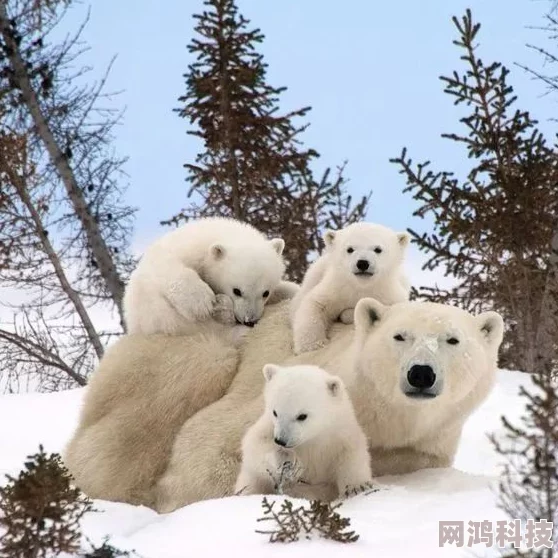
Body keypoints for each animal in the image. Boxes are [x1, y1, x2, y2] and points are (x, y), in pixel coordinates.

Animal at [122, 217, 298, 334]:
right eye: (237, 291)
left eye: (265, 293)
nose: (249, 320)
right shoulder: (180, 250)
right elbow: (167, 265)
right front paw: (201, 302)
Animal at [236, 364, 376, 504]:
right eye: (275, 412)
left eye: (302, 416)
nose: (281, 440)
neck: (312, 438)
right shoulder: (268, 426)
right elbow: (255, 445)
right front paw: (286, 460)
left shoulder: (340, 434)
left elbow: (351, 454)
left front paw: (357, 487)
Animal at [294, 223, 412, 354]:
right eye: (350, 249)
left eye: (378, 249)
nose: (362, 263)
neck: (361, 286)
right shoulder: (336, 288)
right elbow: (316, 304)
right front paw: (312, 345)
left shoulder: (389, 294)